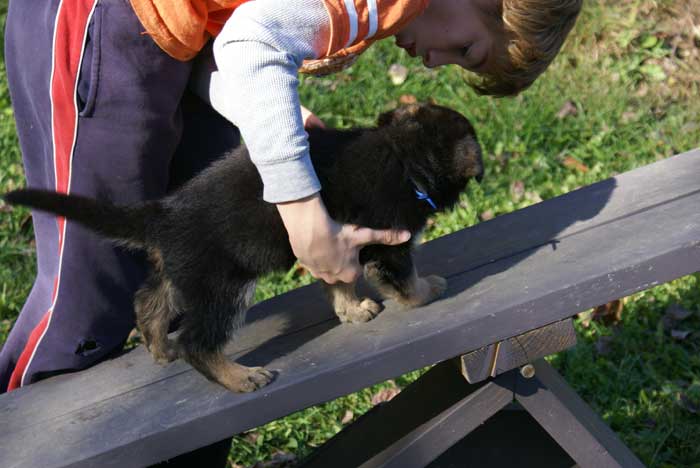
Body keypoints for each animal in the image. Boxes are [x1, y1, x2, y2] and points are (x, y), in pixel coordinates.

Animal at [2, 104, 484, 394]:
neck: (404, 154)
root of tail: (164, 212)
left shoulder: (331, 247)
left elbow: (338, 282)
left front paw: (352, 310)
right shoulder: (389, 244)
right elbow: (405, 278)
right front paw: (427, 292)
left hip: (181, 273)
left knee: (149, 302)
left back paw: (161, 349)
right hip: (224, 286)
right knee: (198, 341)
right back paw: (239, 377)